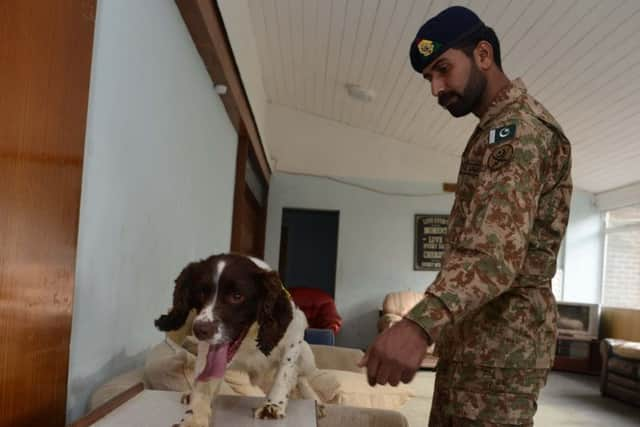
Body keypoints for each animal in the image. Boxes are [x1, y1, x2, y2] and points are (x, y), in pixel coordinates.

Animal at [155, 254, 320, 427]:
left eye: (237, 296)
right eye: (201, 293)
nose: (200, 330)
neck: (250, 338)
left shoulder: (295, 333)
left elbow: (284, 373)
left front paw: (273, 405)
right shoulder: (207, 351)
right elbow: (204, 383)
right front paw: (193, 416)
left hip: (307, 357)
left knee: (301, 379)